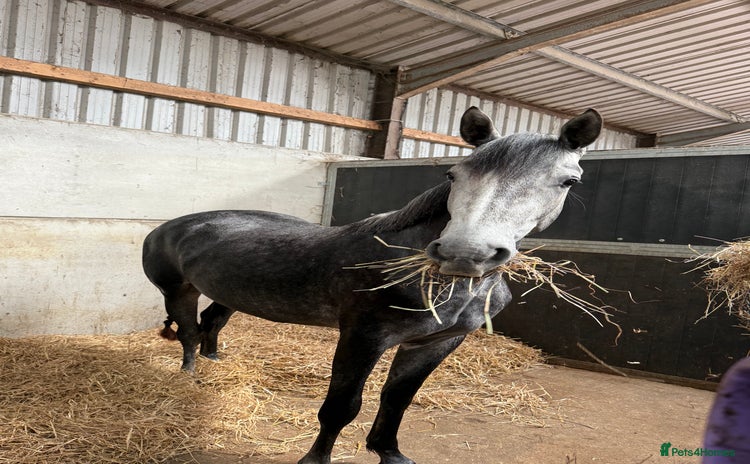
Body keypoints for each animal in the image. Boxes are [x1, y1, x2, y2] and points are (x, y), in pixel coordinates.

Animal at [142, 106, 602, 464]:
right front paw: (315, 459)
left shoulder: (435, 343)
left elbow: (397, 399)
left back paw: (213, 361)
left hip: (230, 295)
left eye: (569, 181)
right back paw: (188, 376)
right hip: (178, 291)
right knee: (187, 332)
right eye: (453, 174)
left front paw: (389, 452)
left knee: (211, 324)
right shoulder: (363, 337)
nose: (465, 253)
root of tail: (169, 226)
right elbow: (342, 407)